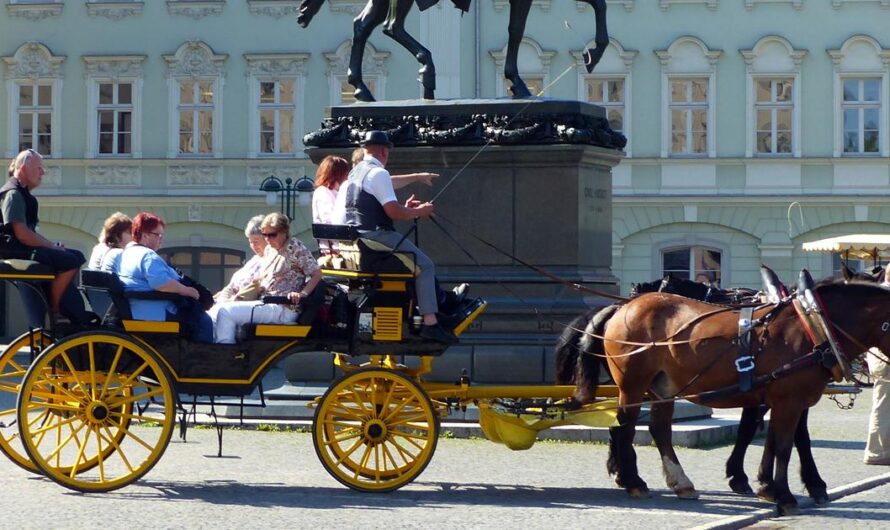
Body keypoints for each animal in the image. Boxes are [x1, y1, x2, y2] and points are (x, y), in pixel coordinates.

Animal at [600, 278, 884, 512]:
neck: (811, 325)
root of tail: (625, 308)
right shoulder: (789, 400)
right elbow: (786, 443)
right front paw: (786, 492)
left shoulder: (779, 399)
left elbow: (773, 438)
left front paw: (767, 486)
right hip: (633, 385)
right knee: (625, 426)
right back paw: (633, 481)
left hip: (663, 387)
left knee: (659, 429)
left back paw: (679, 482)